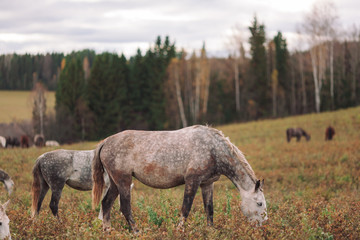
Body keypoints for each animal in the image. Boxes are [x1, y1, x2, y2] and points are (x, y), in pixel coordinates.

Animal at [93, 125, 268, 232]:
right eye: (259, 203)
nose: (264, 226)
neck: (213, 149)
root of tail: (105, 142)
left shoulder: (207, 184)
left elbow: (209, 209)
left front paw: (211, 230)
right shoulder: (192, 180)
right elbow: (186, 208)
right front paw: (180, 230)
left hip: (115, 183)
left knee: (106, 203)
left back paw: (108, 231)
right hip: (123, 181)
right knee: (125, 207)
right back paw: (136, 231)